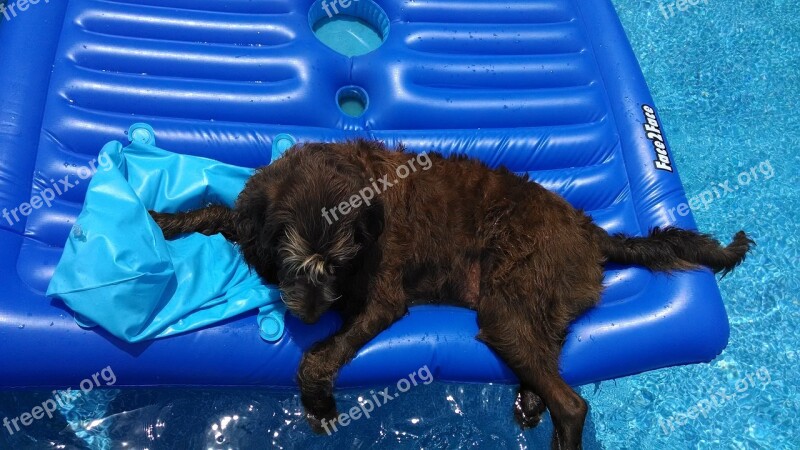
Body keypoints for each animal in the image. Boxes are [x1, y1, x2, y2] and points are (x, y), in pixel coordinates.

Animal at [152, 139, 756, 448]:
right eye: (293, 265)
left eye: (336, 267)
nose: (307, 314)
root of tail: (592, 231)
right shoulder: (256, 216)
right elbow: (219, 213)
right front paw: (164, 222)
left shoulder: (381, 295)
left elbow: (320, 358)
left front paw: (319, 401)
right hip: (535, 308)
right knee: (549, 361)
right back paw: (531, 397)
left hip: (506, 306)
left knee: (573, 403)